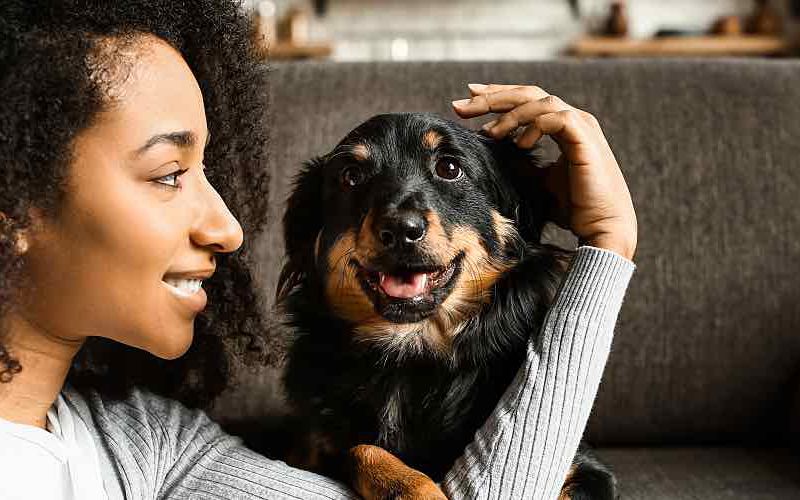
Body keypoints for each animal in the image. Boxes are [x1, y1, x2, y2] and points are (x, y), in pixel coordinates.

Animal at [276, 113, 612, 500]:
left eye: (449, 168)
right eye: (351, 176)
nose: (400, 229)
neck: (410, 351)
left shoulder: (586, 468)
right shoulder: (308, 449)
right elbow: (361, 449)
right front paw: (414, 488)